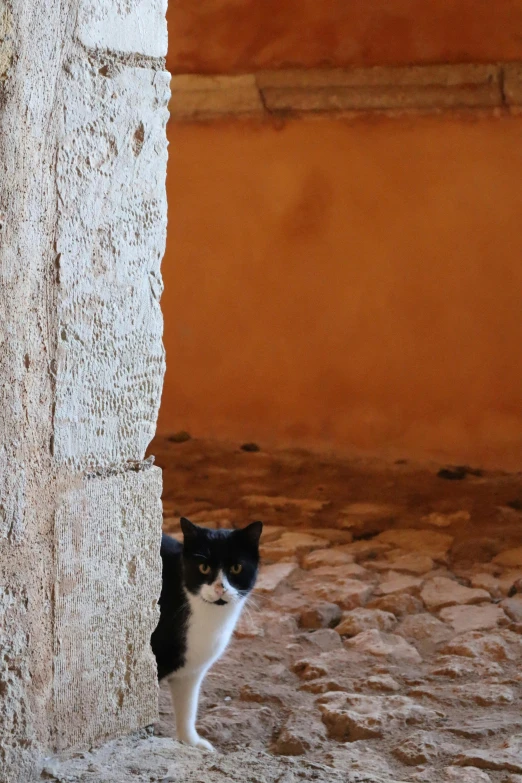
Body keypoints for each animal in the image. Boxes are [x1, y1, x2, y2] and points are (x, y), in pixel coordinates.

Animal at [151, 516, 264, 752]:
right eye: (203, 567)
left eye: (236, 568)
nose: (220, 588)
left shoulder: (191, 671)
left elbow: (187, 707)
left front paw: (191, 742)